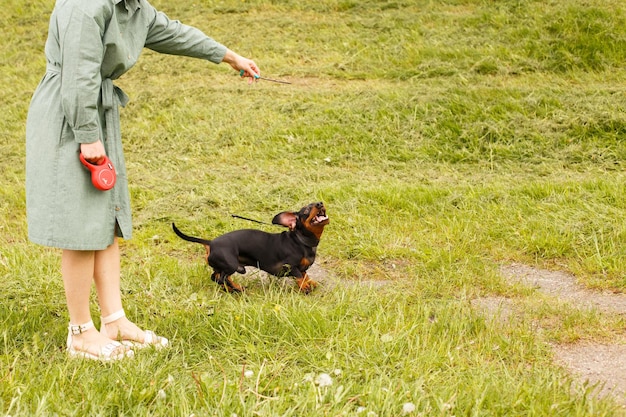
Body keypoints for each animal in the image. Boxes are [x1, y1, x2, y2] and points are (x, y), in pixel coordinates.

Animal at [171, 202, 326, 292]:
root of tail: (211, 243)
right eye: (306, 210)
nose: (320, 203)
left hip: (226, 266)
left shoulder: (301, 267)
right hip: (231, 265)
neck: (302, 241)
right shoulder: (290, 266)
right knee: (220, 279)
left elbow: (305, 274)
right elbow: (299, 276)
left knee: (216, 277)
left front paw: (309, 282)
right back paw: (234, 289)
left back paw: (235, 288)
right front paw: (304, 287)